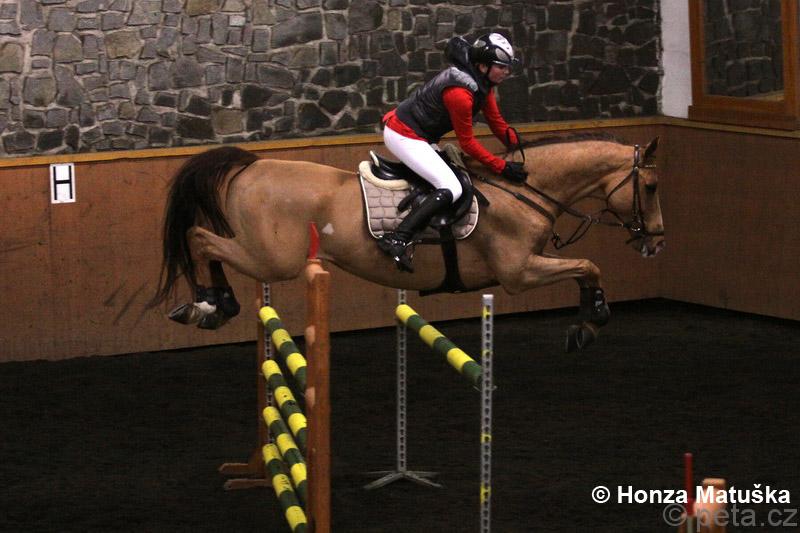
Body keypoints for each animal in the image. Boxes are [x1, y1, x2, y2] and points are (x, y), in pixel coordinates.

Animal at [150, 133, 664, 351]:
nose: (657, 242)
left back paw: (211, 306)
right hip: (271, 259)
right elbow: (588, 266)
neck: (525, 190)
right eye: (652, 186)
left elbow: (585, 267)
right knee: (200, 239)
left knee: (204, 241)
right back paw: (209, 304)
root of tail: (252, 166)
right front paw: (592, 319)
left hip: (266, 256)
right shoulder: (519, 272)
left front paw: (587, 320)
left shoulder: (527, 266)